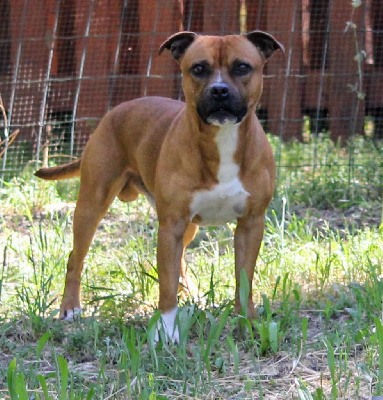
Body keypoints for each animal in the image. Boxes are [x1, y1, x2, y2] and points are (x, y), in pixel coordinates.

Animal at [35, 31, 284, 342]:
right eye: (198, 68)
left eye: (242, 67)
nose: (219, 90)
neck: (222, 140)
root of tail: (116, 110)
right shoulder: (171, 226)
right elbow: (165, 287)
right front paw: (167, 332)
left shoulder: (250, 225)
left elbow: (244, 281)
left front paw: (247, 325)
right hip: (91, 206)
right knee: (75, 258)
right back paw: (70, 308)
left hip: (187, 227)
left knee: (181, 261)